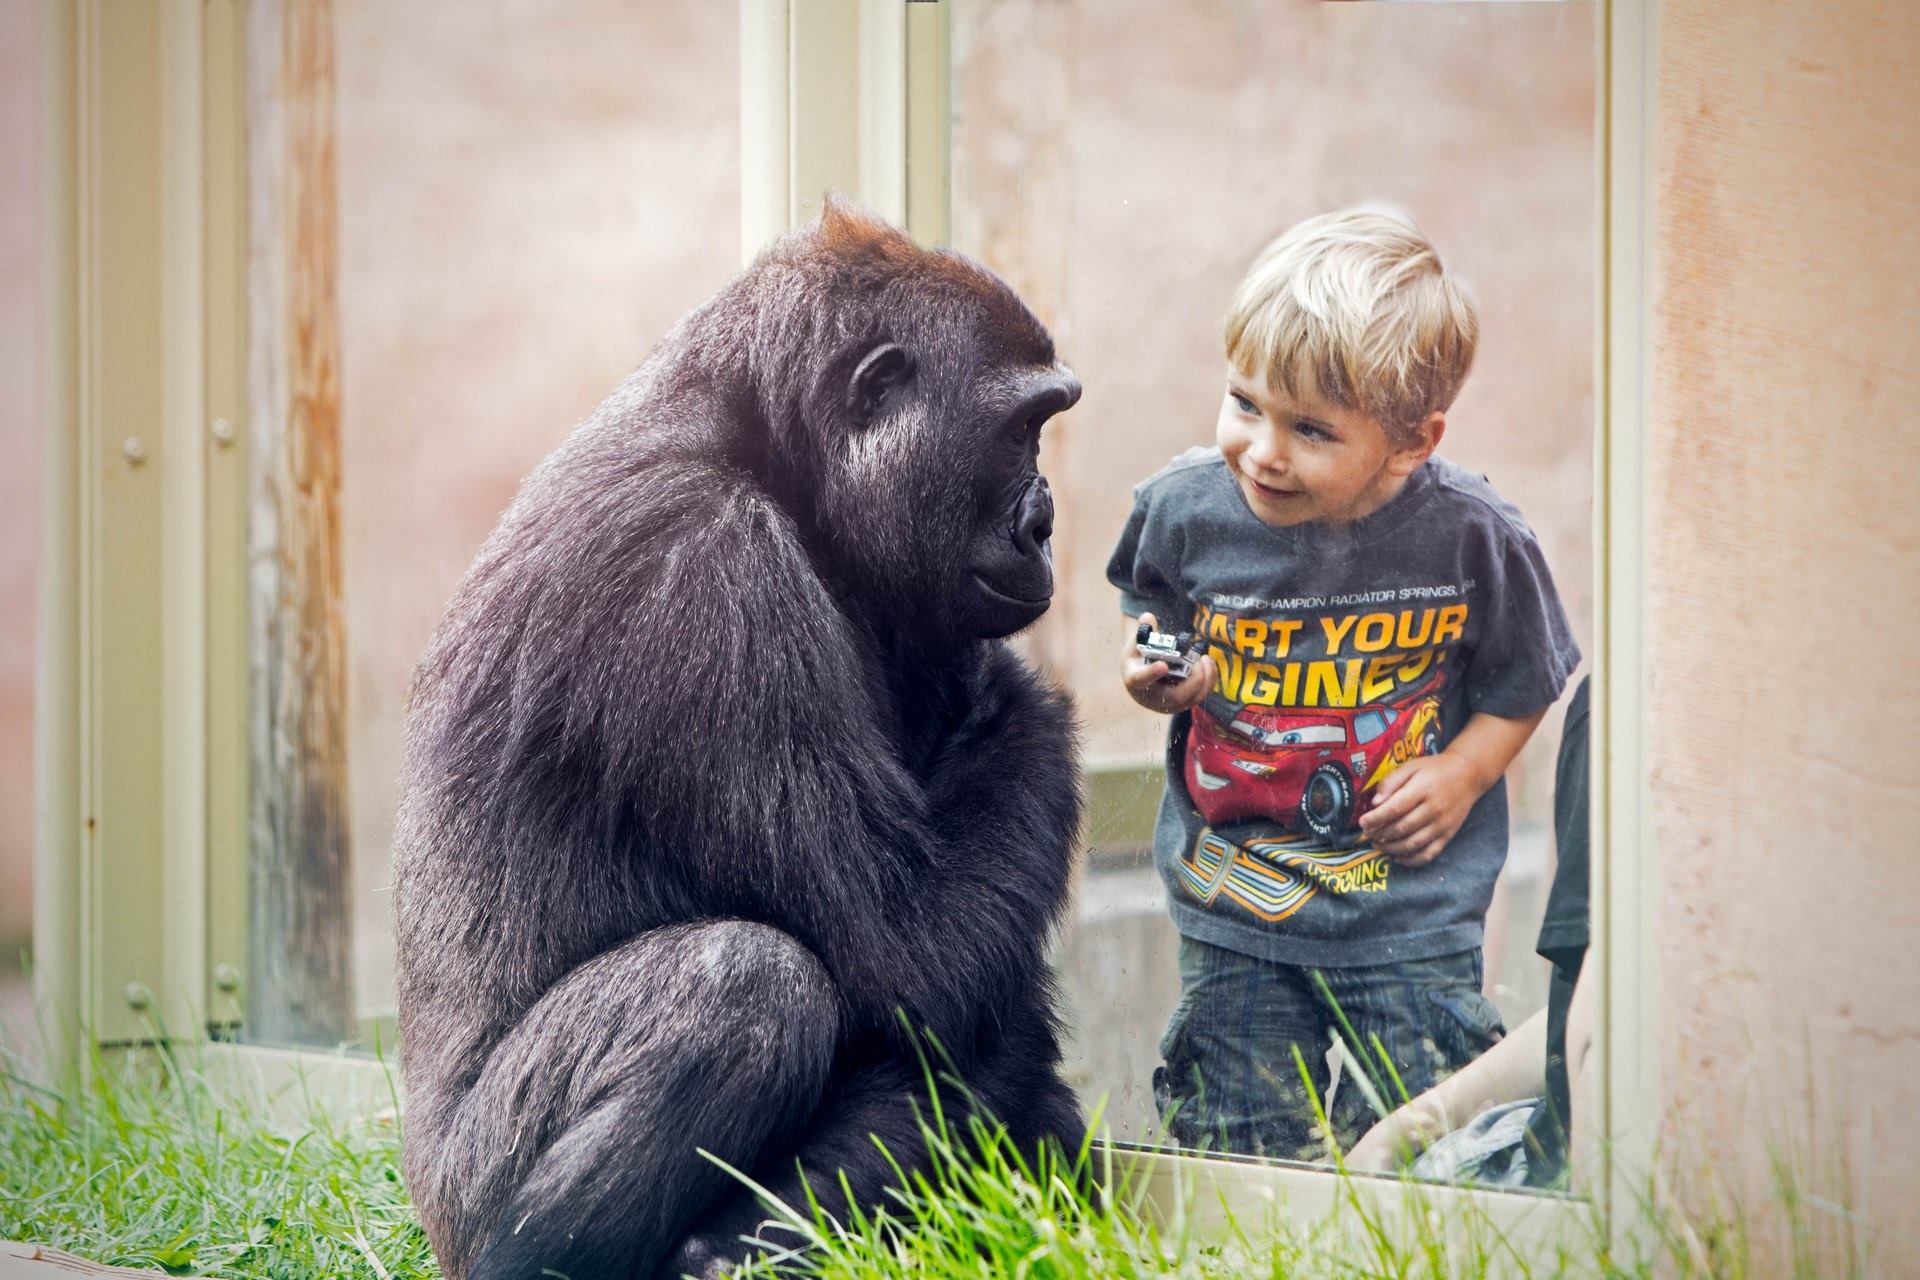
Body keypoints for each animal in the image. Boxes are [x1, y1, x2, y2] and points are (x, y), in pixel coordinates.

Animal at [392, 201, 1086, 1280]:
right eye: (1021, 429)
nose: (1044, 524)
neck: (759, 438)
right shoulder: (701, 571)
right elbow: (914, 952)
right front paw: (1017, 693)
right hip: (468, 1195)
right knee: (745, 985)